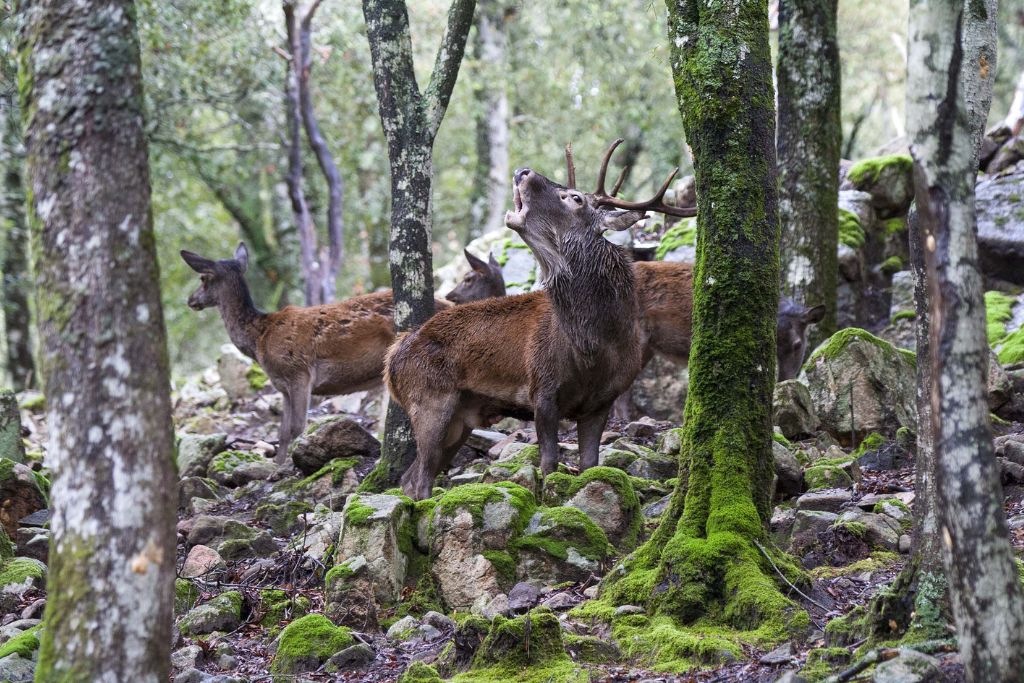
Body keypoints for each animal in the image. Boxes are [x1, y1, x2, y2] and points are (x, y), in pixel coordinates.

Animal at [180, 243, 450, 464]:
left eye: (203, 278)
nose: (190, 300)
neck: (259, 338)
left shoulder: (298, 372)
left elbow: (297, 427)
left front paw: (288, 468)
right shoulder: (282, 385)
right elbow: (282, 431)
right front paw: (276, 466)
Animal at [386, 140, 694, 500]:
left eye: (574, 198)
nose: (523, 171)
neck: (594, 349)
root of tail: (392, 360)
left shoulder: (602, 401)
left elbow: (590, 464)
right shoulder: (542, 390)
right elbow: (549, 463)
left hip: (460, 418)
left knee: (410, 478)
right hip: (429, 401)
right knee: (419, 481)